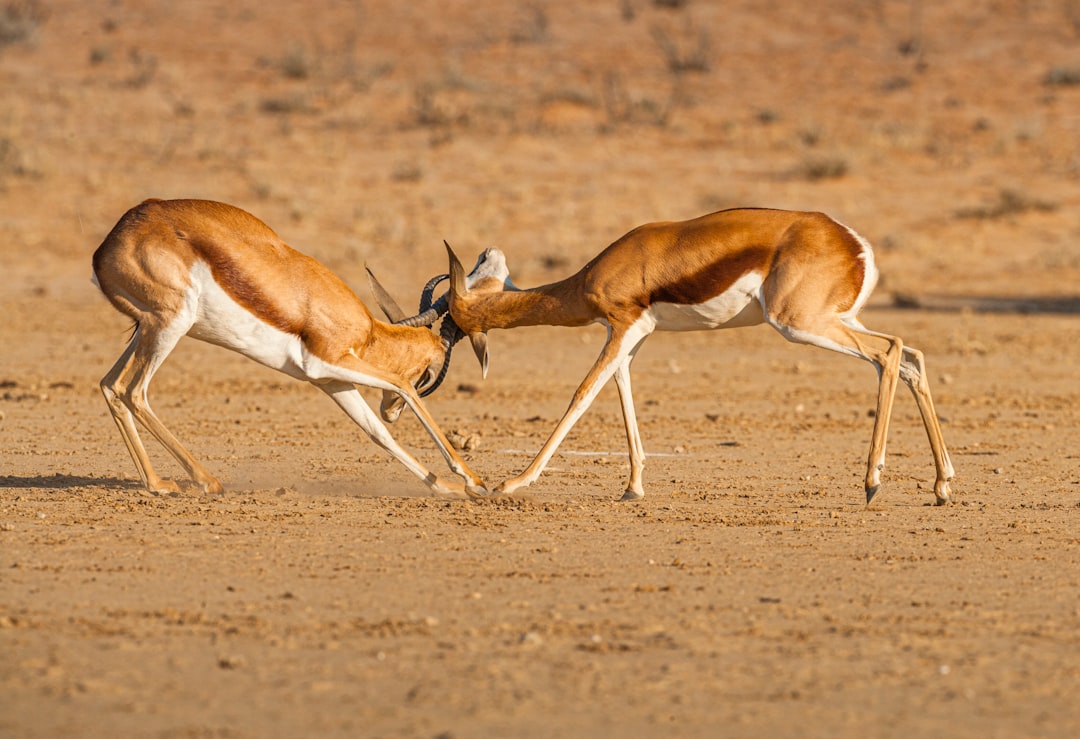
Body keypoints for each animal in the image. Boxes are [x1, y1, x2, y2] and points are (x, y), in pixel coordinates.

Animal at [90, 197, 488, 496]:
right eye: (429, 373)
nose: (390, 411)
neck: (368, 332)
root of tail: (106, 246)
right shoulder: (326, 362)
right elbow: (402, 386)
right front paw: (475, 482)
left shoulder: (331, 381)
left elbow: (378, 433)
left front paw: (448, 489)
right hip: (170, 325)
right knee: (133, 391)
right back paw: (202, 482)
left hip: (147, 329)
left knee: (110, 385)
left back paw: (158, 483)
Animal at [438, 210, 954, 505]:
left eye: (456, 307)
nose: (487, 248)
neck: (591, 277)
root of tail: (854, 244)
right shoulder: (631, 336)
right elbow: (621, 392)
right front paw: (632, 487)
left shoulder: (622, 327)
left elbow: (582, 394)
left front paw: (511, 483)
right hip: (836, 319)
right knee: (912, 357)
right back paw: (942, 485)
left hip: (800, 324)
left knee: (889, 352)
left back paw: (872, 482)